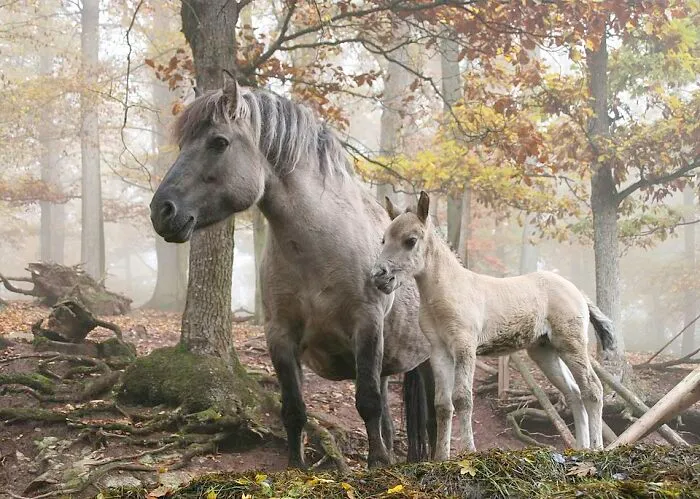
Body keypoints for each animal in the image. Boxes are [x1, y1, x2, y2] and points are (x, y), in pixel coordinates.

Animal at [149, 73, 436, 469]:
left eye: (219, 142)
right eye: (182, 144)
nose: (162, 211)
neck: (318, 252)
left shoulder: (367, 325)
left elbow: (367, 402)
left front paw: (377, 465)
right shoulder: (280, 335)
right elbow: (294, 409)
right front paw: (296, 466)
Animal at [371, 191, 616, 460]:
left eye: (410, 240)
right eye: (383, 240)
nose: (379, 276)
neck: (448, 291)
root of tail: (578, 293)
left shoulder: (464, 347)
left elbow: (462, 398)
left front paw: (468, 451)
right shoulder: (439, 351)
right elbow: (442, 404)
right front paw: (441, 458)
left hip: (571, 344)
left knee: (592, 388)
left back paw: (597, 448)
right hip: (544, 350)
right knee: (574, 393)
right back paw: (581, 449)